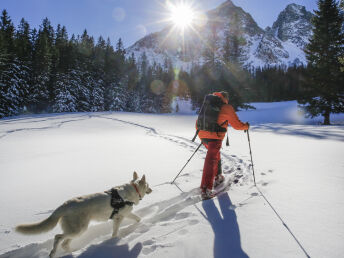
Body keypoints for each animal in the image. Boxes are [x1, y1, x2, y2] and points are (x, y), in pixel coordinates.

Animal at [15, 171, 152, 258]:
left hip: (77, 230)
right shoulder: (120, 217)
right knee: (58, 237)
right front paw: (113, 241)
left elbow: (138, 218)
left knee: (65, 243)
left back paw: (74, 252)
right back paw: (53, 253)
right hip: (79, 229)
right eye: (148, 185)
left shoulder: (123, 215)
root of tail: (65, 205)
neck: (133, 189)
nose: (152, 190)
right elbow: (116, 232)